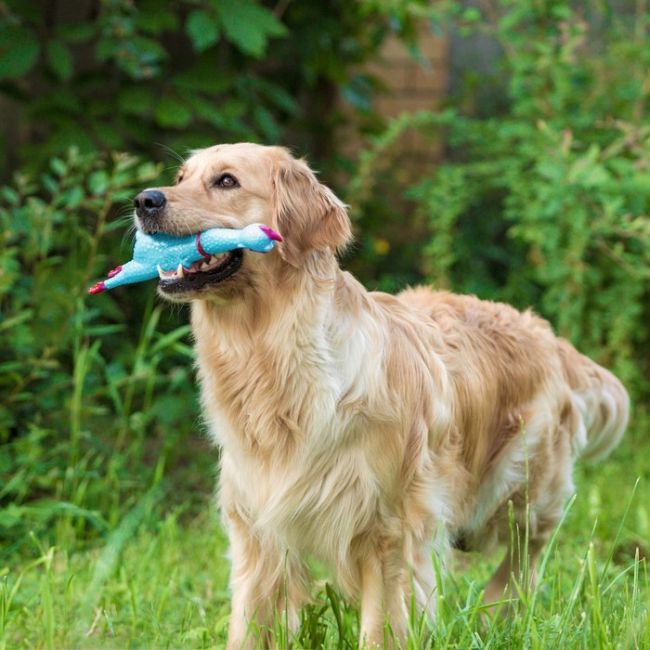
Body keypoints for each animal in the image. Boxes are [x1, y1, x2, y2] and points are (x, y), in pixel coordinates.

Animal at [133, 144, 628, 644]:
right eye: (181, 176)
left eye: (226, 181)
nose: (144, 200)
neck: (270, 357)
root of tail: (544, 331)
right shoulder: (257, 529)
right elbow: (249, 626)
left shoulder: (390, 531)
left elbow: (381, 625)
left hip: (518, 489)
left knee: (527, 552)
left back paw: (496, 615)